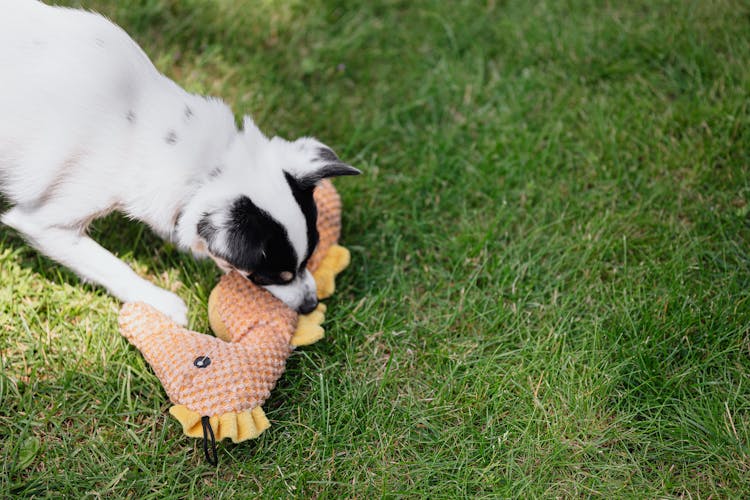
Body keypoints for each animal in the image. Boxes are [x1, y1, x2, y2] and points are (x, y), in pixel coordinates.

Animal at [0, 0, 362, 326]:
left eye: (310, 258)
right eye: (276, 274)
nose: (311, 305)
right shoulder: (46, 224)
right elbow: (110, 264)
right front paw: (160, 302)